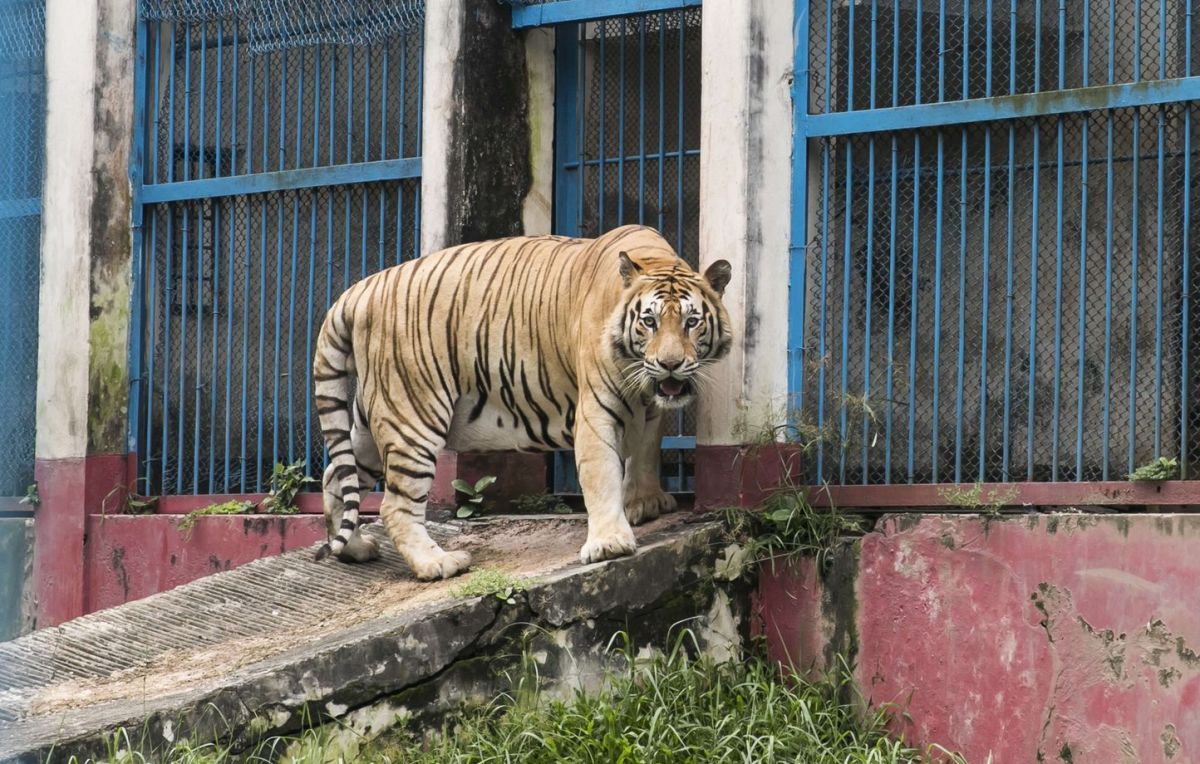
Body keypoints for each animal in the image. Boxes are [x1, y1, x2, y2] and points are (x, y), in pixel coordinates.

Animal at [313, 224, 733, 580]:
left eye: (692, 322)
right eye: (649, 321)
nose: (670, 364)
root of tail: (360, 290)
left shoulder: (651, 406)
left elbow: (644, 451)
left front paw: (644, 503)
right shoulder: (597, 408)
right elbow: (600, 472)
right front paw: (610, 542)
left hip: (375, 419)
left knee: (337, 475)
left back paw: (354, 548)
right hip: (413, 415)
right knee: (393, 505)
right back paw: (437, 563)